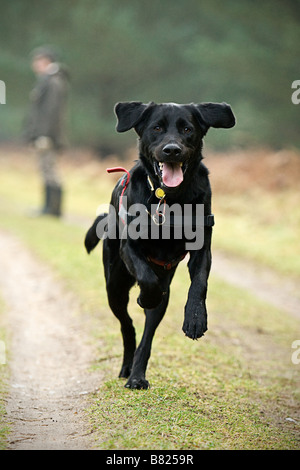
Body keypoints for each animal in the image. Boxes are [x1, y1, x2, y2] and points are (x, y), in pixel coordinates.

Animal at [84, 100, 234, 390]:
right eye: (156, 128)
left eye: (187, 129)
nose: (172, 150)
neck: (170, 198)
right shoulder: (130, 249)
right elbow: (147, 278)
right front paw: (145, 295)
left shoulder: (203, 248)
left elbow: (199, 283)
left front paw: (195, 319)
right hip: (114, 286)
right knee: (127, 325)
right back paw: (127, 367)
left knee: (147, 336)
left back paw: (137, 375)